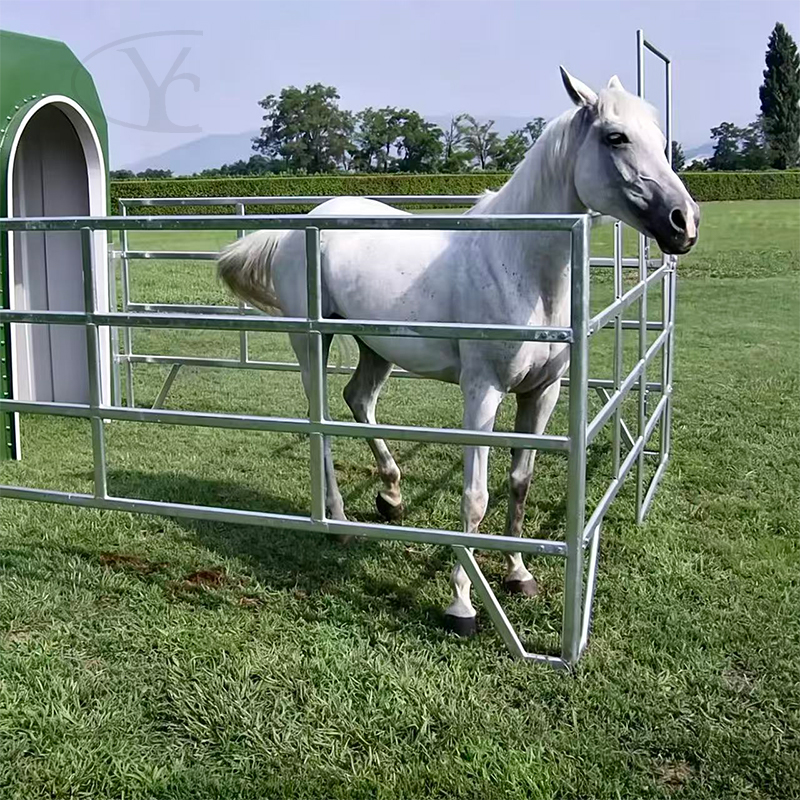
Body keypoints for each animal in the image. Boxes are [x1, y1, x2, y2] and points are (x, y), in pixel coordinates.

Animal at [218, 69, 699, 635]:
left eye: (659, 135)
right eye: (615, 137)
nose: (684, 222)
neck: (517, 260)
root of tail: (303, 223)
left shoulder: (541, 393)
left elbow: (520, 483)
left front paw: (518, 574)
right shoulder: (482, 393)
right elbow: (476, 497)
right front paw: (463, 605)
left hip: (375, 346)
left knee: (358, 400)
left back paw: (392, 495)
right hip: (312, 342)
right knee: (321, 428)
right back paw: (338, 523)